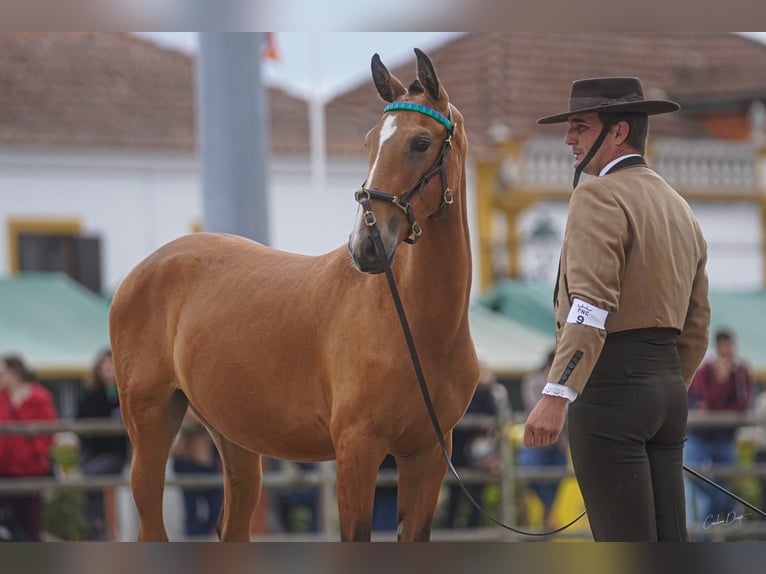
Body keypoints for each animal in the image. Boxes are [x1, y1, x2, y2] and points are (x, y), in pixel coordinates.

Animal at [108, 47, 480, 544]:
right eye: (369, 142)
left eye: (421, 142)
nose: (366, 246)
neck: (419, 328)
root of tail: (142, 271)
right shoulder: (357, 449)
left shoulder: (428, 455)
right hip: (150, 422)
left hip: (234, 436)